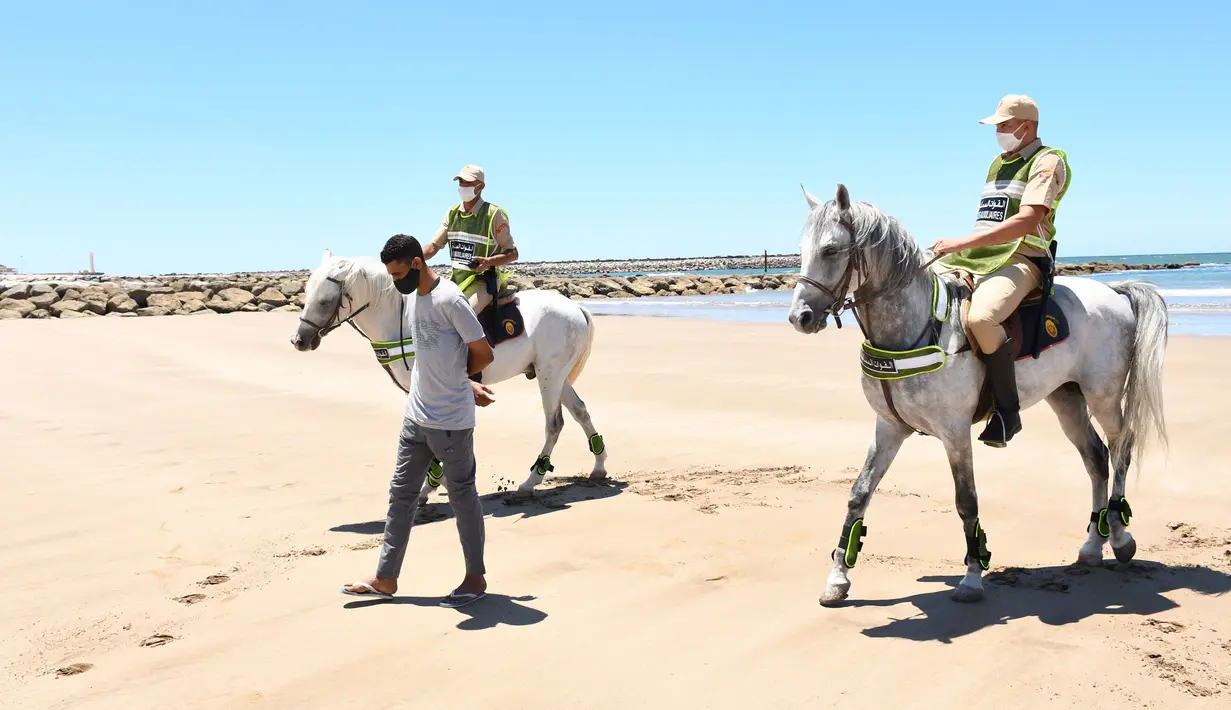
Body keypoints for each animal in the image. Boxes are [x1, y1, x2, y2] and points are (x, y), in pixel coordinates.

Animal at [292, 247, 610, 497]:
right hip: (558, 376)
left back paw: (532, 480)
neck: (402, 320)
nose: (299, 340)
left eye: (324, 301)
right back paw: (598, 466)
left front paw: (431, 484)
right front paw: (435, 482)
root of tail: (574, 306)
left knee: (554, 423)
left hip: (549, 375)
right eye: (306, 294)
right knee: (580, 411)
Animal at [782, 182, 1166, 602]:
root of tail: (1113, 290)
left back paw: (1121, 537)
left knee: (1121, 448)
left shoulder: (955, 432)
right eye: (801, 249)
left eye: (831, 250)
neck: (915, 328)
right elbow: (859, 494)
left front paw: (971, 576)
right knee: (1096, 458)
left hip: (1104, 396)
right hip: (1065, 398)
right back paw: (1093, 546)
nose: (800, 317)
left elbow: (966, 501)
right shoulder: (888, 427)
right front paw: (838, 578)